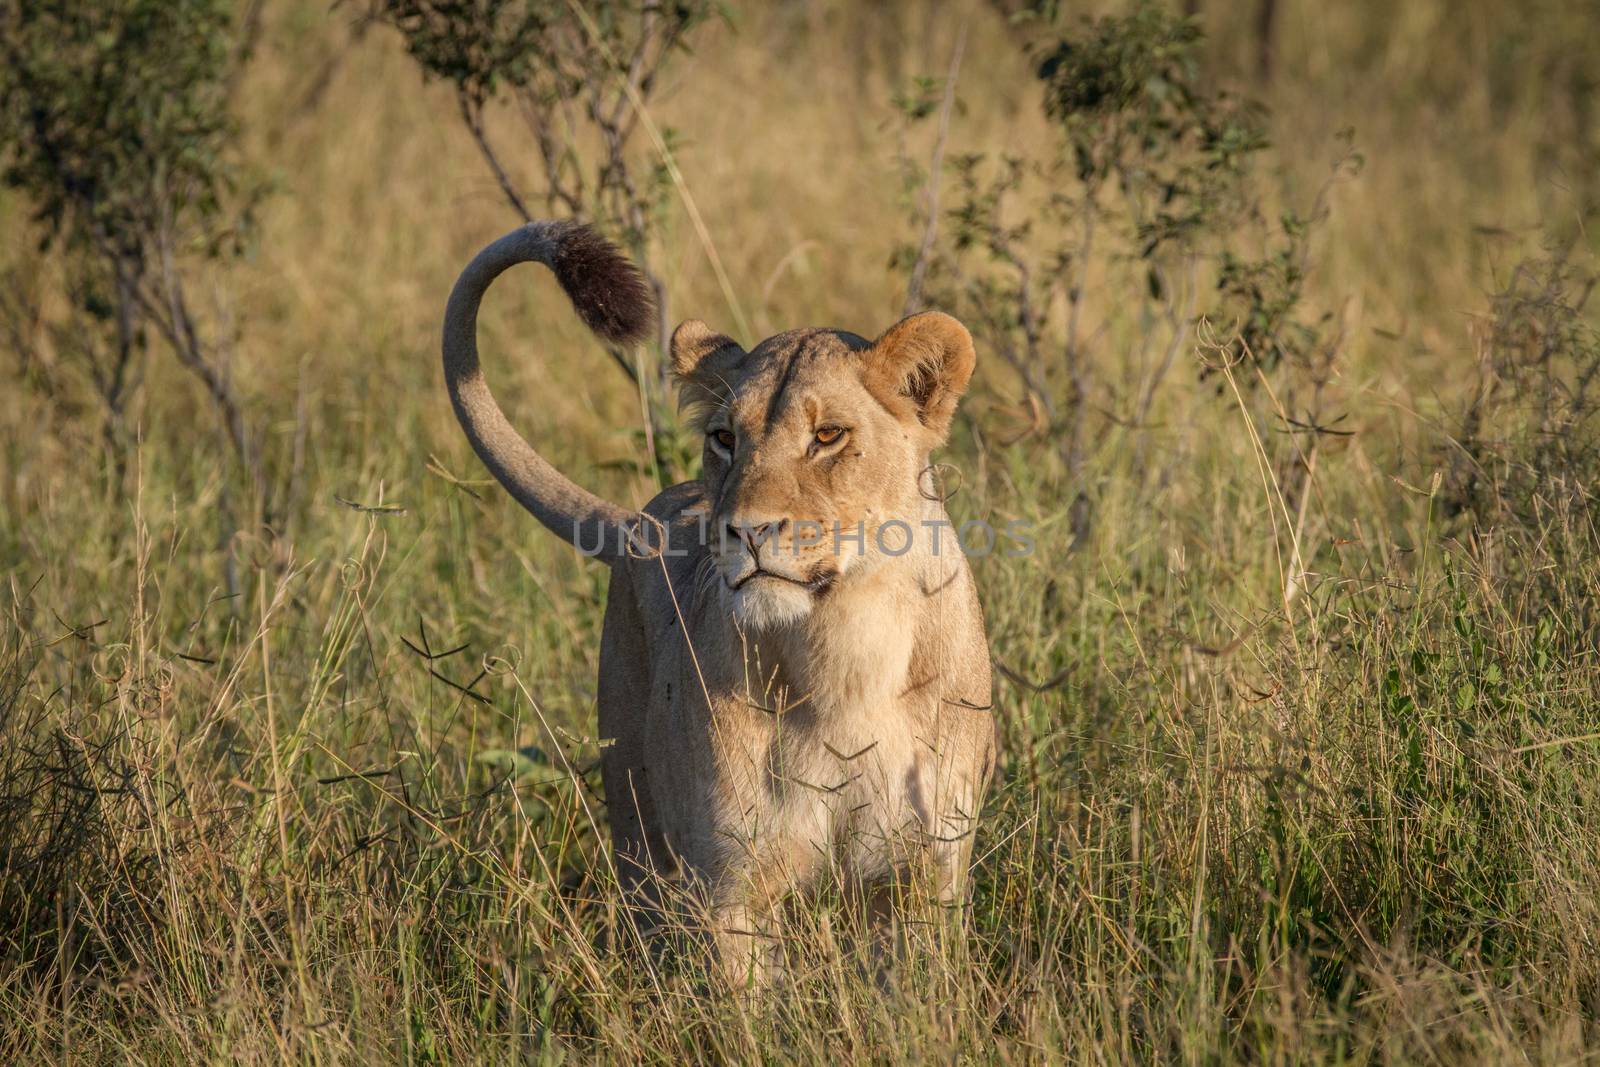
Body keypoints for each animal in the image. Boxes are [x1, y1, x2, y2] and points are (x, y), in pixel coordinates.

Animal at [438, 220, 985, 991]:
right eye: (725, 437)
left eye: (828, 436)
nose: (745, 530)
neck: (845, 647)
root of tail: (642, 521)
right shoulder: (728, 883)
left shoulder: (924, 873)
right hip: (638, 827)